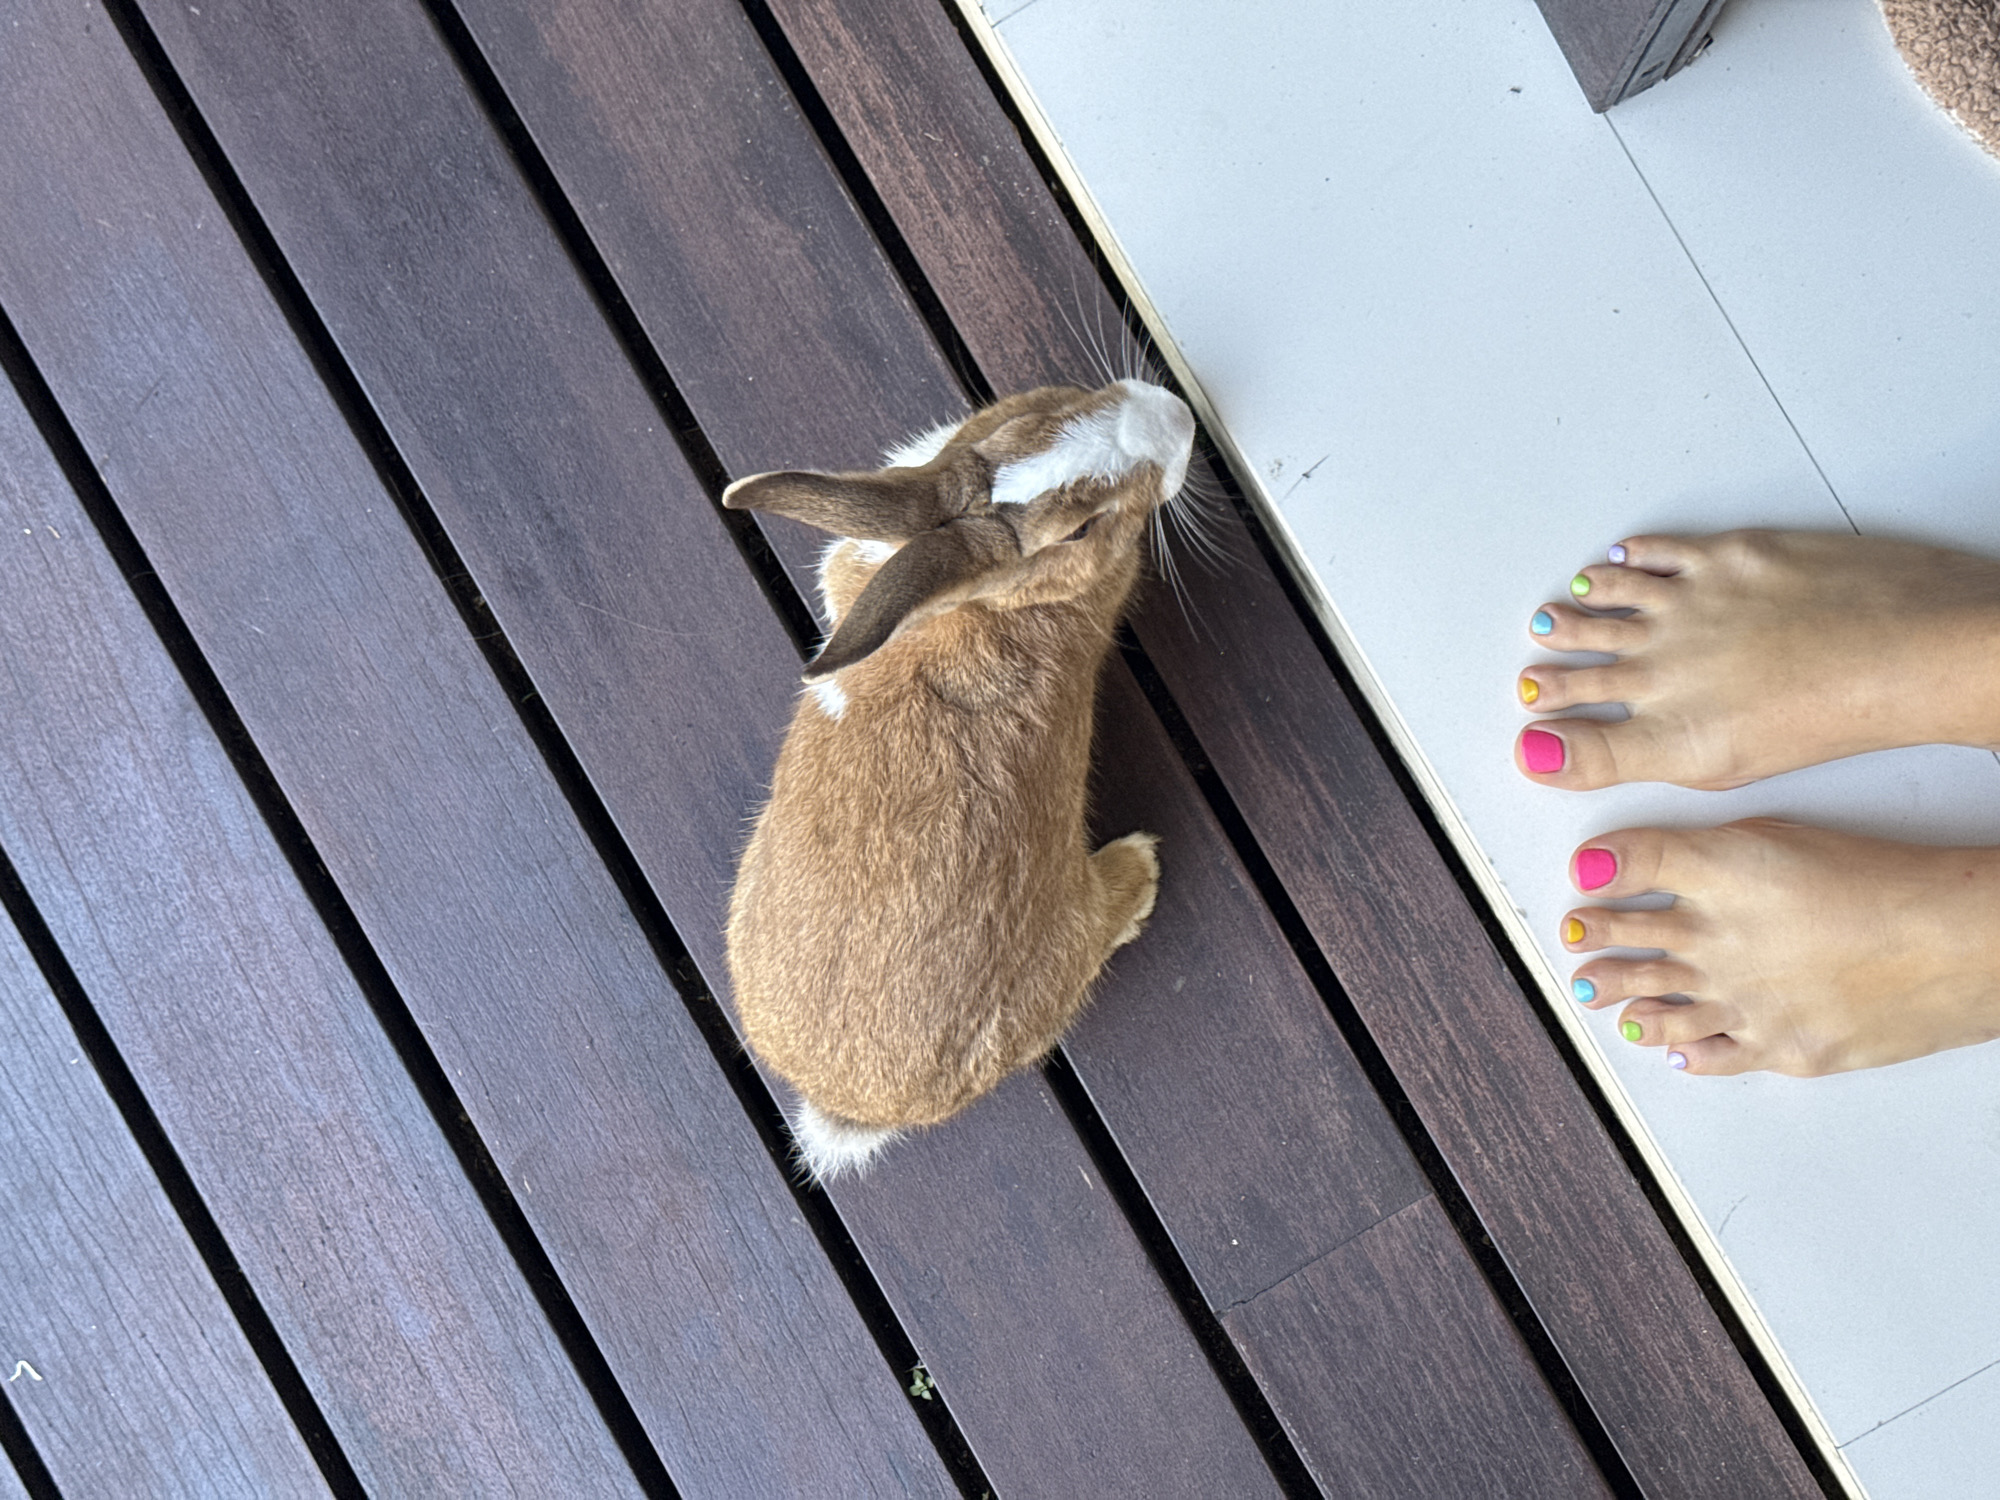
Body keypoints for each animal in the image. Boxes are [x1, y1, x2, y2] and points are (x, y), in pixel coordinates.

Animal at [722, 378, 1196, 1182]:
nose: (1177, 418)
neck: (988, 598)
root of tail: (852, 1108)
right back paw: (1139, 868)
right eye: (1081, 531)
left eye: (1041, 410)